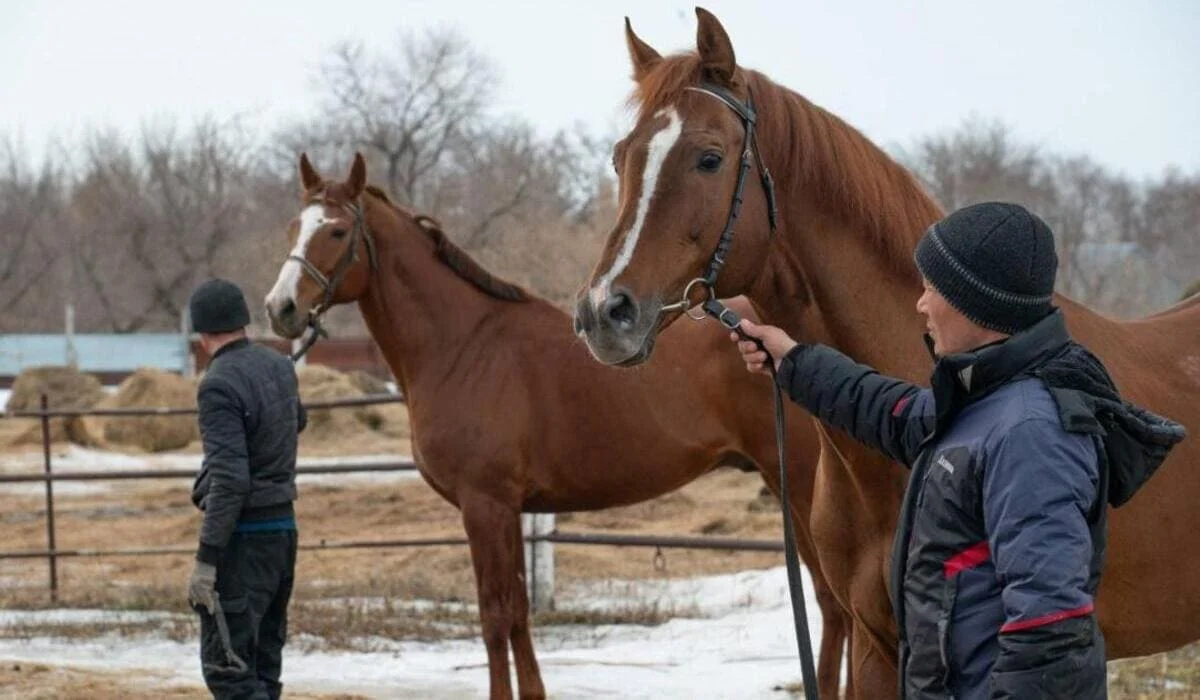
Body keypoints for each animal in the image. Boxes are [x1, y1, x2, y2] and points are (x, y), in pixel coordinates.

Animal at [264, 153, 849, 700]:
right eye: (292, 228)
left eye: (337, 231)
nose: (281, 308)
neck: (463, 345)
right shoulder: (509, 511)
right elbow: (520, 612)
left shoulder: (485, 505)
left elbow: (495, 614)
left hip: (800, 483)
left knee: (833, 601)